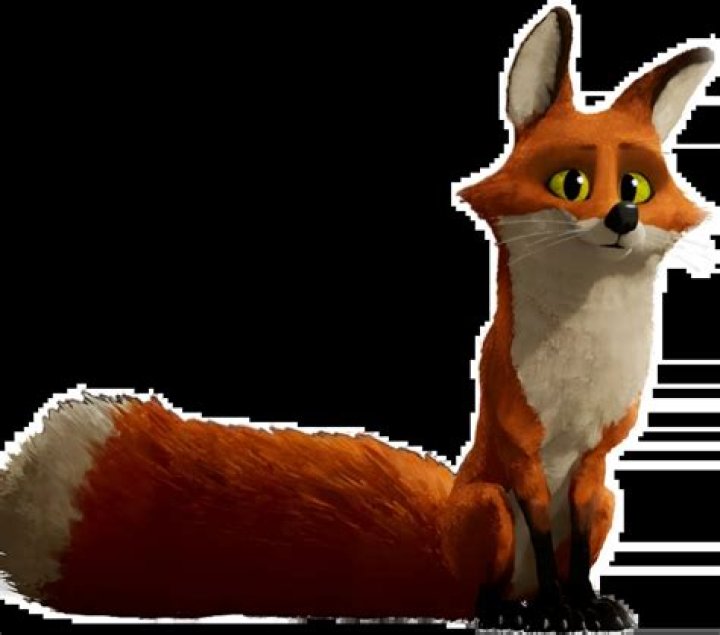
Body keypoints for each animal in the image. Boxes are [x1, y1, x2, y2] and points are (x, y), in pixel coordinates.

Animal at [0, 5, 716, 632]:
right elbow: (542, 537)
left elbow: (575, 556)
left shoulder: (597, 458)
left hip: (609, 503)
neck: (584, 353)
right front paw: (554, 614)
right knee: (487, 589)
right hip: (485, 508)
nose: (622, 218)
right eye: (572, 183)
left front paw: (586, 605)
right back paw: (510, 610)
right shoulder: (519, 447)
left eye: (637, 188)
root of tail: (442, 548)